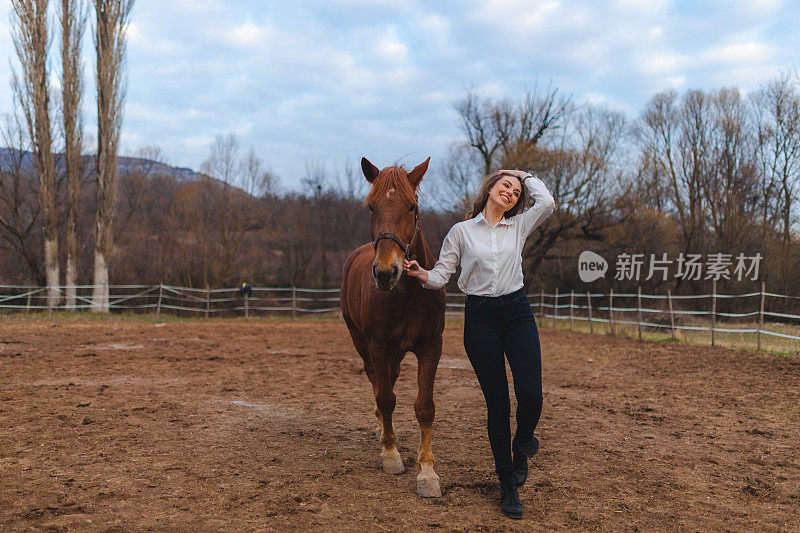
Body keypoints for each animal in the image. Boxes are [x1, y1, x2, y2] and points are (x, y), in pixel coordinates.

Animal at [340, 156, 446, 496]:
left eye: (412, 206)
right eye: (371, 207)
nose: (386, 272)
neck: (408, 294)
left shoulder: (431, 347)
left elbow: (425, 406)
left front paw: (427, 471)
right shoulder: (377, 345)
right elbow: (386, 398)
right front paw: (390, 454)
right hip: (362, 342)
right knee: (377, 382)